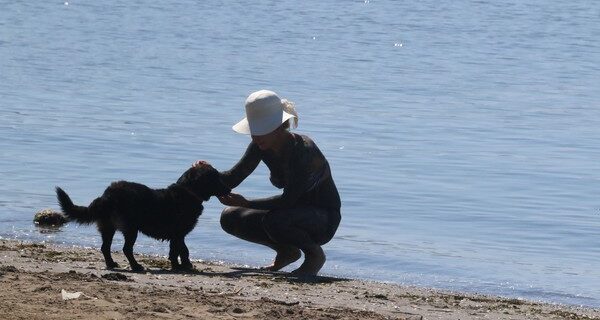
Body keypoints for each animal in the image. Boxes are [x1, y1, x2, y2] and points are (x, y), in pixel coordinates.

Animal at [55, 165, 230, 272]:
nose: (228, 189)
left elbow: (180, 250)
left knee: (105, 248)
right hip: (131, 229)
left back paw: (111, 264)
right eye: (215, 177)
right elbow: (180, 251)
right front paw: (181, 266)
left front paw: (182, 265)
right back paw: (136, 266)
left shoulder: (178, 235)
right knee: (126, 249)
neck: (188, 192)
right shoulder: (178, 234)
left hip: (108, 227)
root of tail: (107, 195)